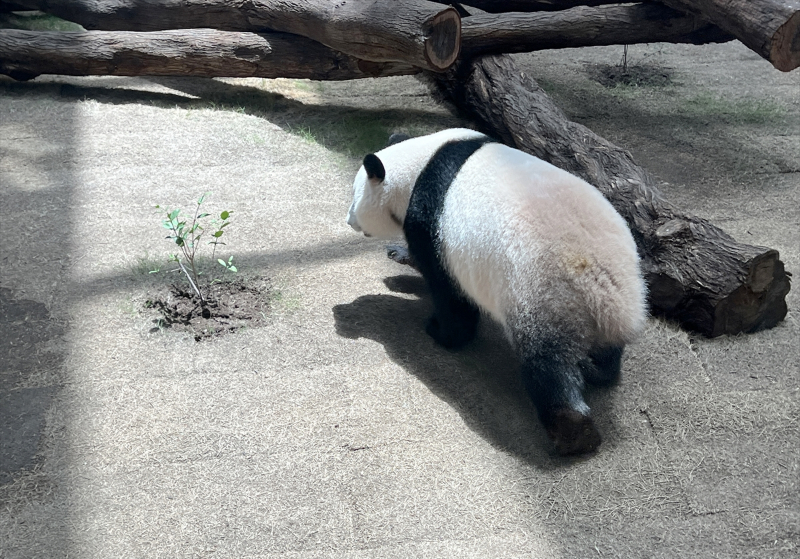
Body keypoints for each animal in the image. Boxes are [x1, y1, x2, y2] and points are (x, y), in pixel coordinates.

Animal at [346, 128, 647, 455]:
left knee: (547, 365)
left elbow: (448, 293)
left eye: (354, 195)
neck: (419, 167)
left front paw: (440, 331)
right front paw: (399, 262)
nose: (349, 220)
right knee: (604, 354)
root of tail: (603, 285)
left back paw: (574, 432)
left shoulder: (432, 223)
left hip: (545, 292)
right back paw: (597, 370)